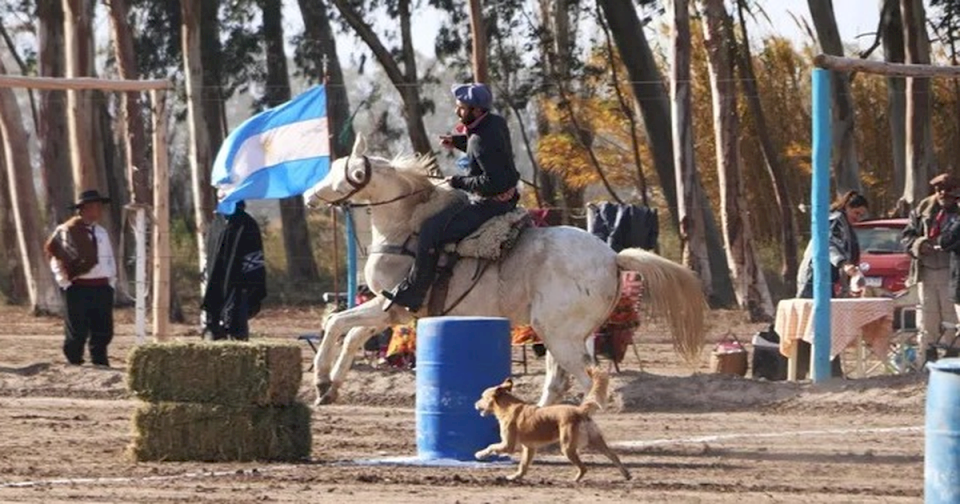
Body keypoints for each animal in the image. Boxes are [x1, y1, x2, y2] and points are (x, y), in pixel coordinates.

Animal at [304, 135, 708, 410]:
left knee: (589, 381)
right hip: (567, 335)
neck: (406, 224)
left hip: (559, 335)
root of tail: (612, 257)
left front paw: (321, 378)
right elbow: (352, 336)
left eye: (343, 173)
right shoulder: (390, 310)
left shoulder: (397, 305)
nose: (309, 196)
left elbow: (337, 323)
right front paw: (330, 388)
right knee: (559, 381)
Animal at [470, 368, 632, 482]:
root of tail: (580, 410)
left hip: (567, 447)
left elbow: (491, 446)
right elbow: (523, 466)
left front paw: (480, 454)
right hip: (596, 441)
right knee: (613, 456)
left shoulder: (508, 445)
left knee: (584, 467)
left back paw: (575, 480)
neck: (508, 407)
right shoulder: (529, 448)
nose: (475, 404)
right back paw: (626, 475)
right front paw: (515, 477)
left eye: (482, 397)